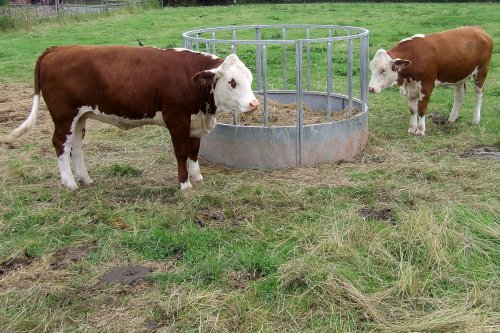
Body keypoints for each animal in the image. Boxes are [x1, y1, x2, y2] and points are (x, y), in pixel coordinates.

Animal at [3, 45, 260, 189]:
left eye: (250, 78)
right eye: (232, 82)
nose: (254, 103)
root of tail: (56, 49)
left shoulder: (195, 121)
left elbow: (194, 151)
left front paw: (197, 177)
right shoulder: (176, 119)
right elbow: (182, 152)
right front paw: (185, 184)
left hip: (81, 116)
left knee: (75, 147)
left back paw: (86, 180)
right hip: (64, 115)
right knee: (60, 144)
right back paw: (70, 184)